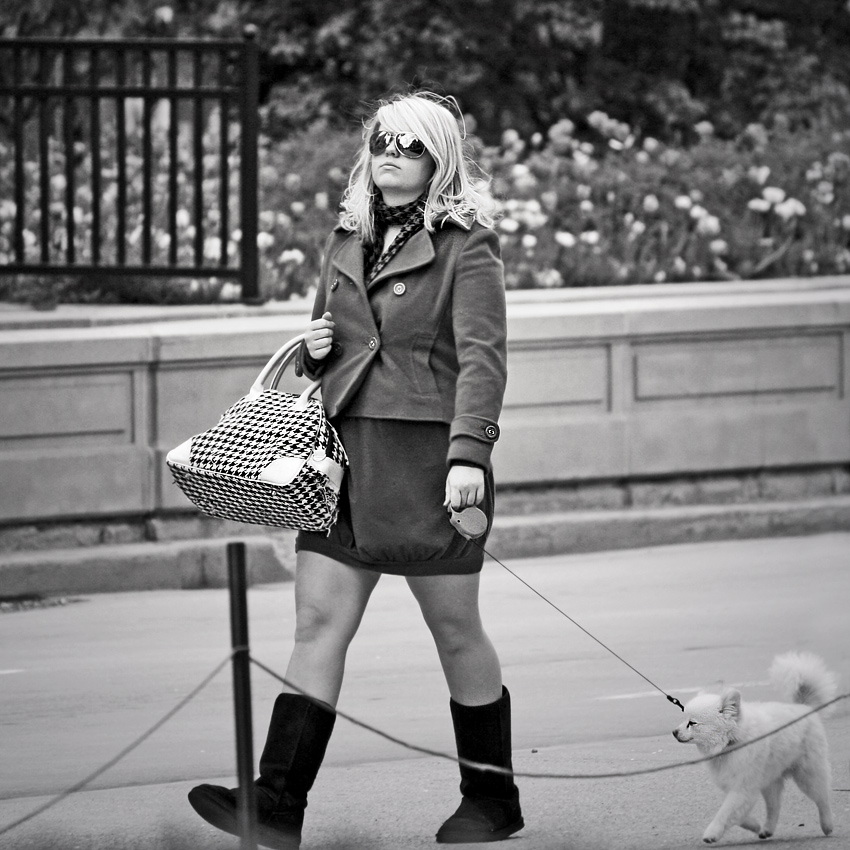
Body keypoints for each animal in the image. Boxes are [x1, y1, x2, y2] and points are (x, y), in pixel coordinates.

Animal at [673, 652, 837, 844]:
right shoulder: (736, 786)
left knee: (822, 798)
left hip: (808, 774)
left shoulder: (743, 787)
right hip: (770, 779)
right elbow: (737, 814)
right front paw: (754, 825)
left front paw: (712, 833)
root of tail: (804, 707)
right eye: (683, 720)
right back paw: (766, 829)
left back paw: (827, 825)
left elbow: (725, 812)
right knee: (775, 806)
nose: (674, 732)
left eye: (692, 723)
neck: (731, 742)